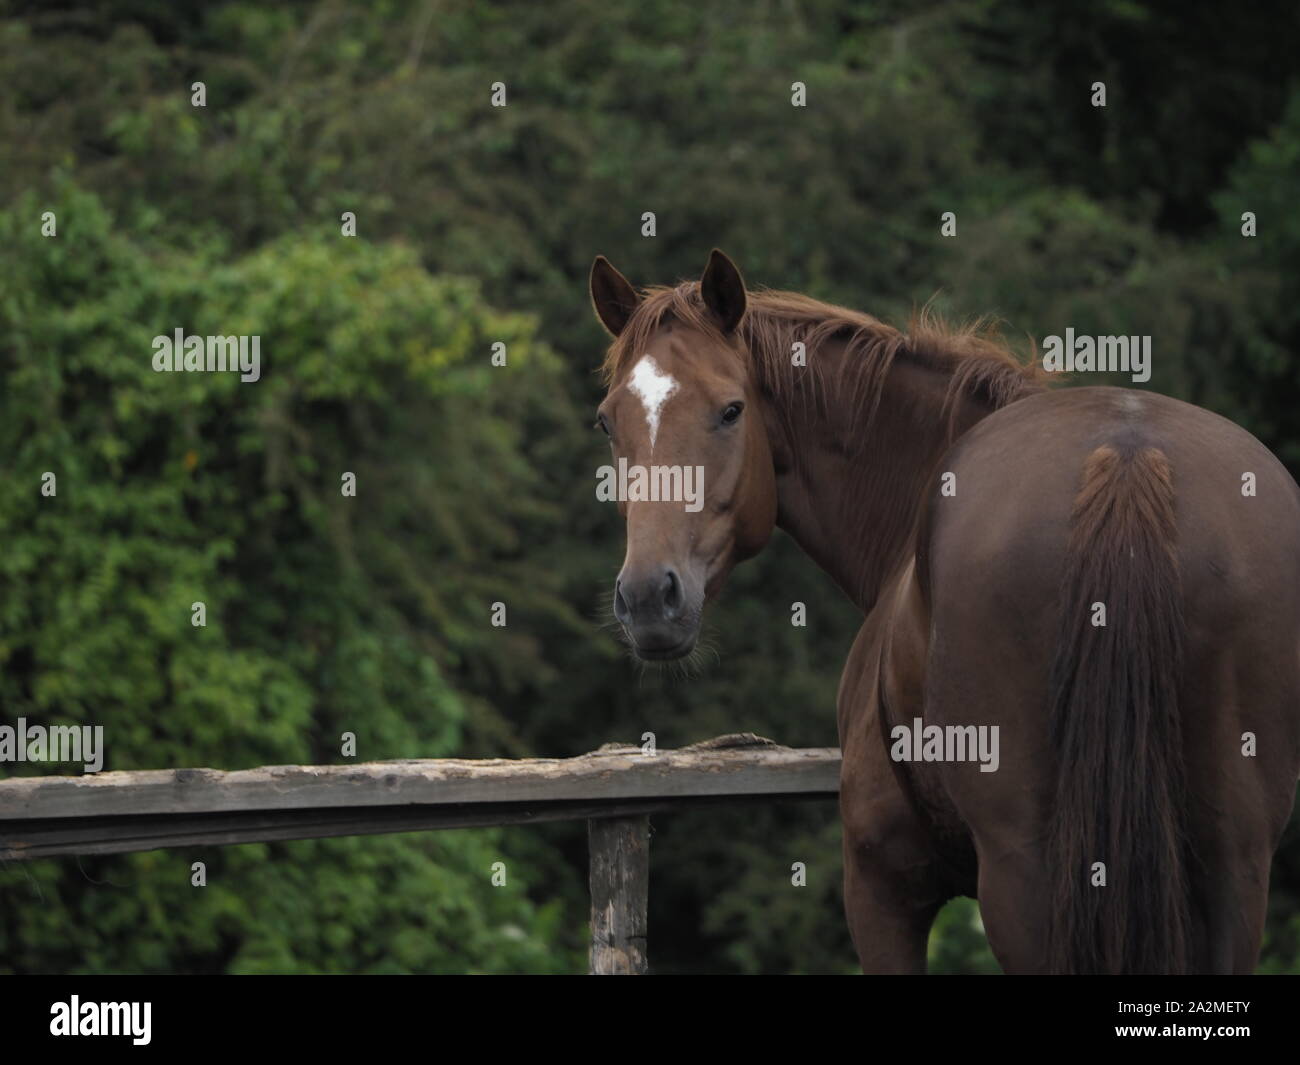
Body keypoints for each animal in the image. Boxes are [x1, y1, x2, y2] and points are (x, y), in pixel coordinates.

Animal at [587, 249, 1300, 972]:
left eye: (731, 410)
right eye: (607, 421)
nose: (647, 597)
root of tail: (1128, 460)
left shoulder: (881, 883)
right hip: (1233, 867)